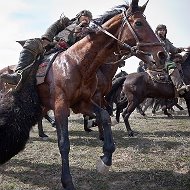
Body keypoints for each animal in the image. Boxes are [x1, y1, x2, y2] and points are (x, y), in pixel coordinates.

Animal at [0, 0, 166, 189]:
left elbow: (104, 116)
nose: (162, 55)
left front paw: (105, 158)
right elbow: (64, 143)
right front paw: (67, 181)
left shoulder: (83, 103)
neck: (77, 63)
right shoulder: (61, 106)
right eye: (139, 23)